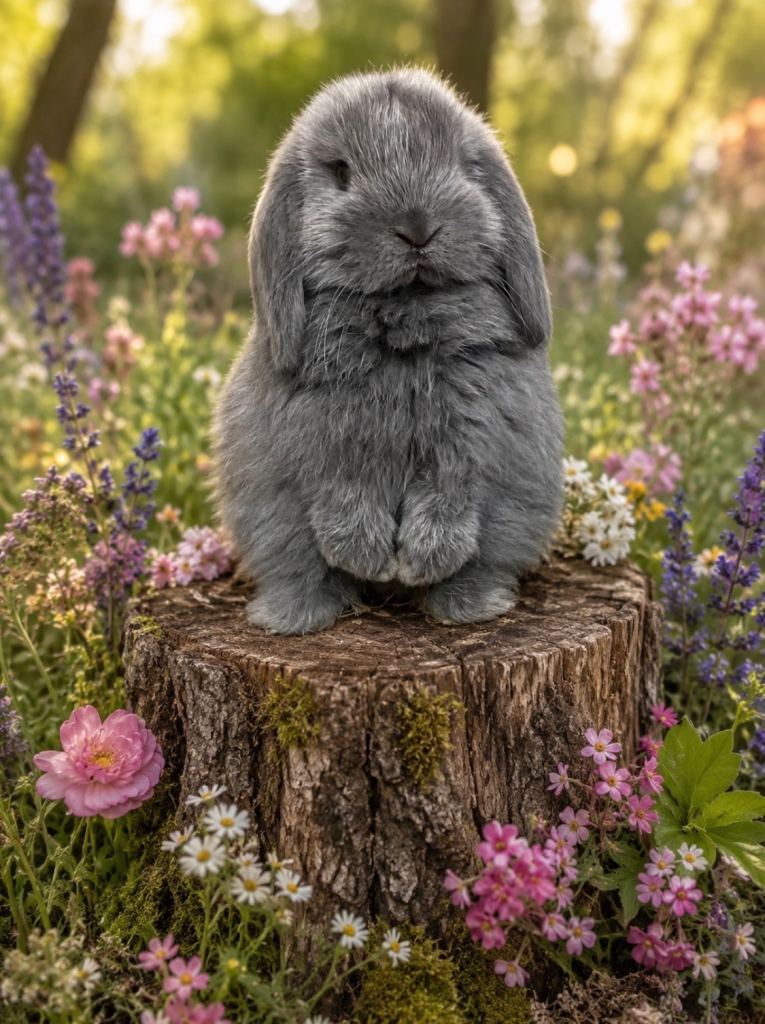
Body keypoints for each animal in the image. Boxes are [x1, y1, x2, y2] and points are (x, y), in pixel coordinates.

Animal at [213, 67, 564, 635]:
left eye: (461, 165)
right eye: (340, 172)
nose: (417, 227)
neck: (406, 319)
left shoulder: (470, 447)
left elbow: (449, 501)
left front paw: (415, 564)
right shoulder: (327, 452)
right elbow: (345, 502)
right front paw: (375, 562)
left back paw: (469, 605)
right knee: (300, 573)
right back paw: (294, 617)